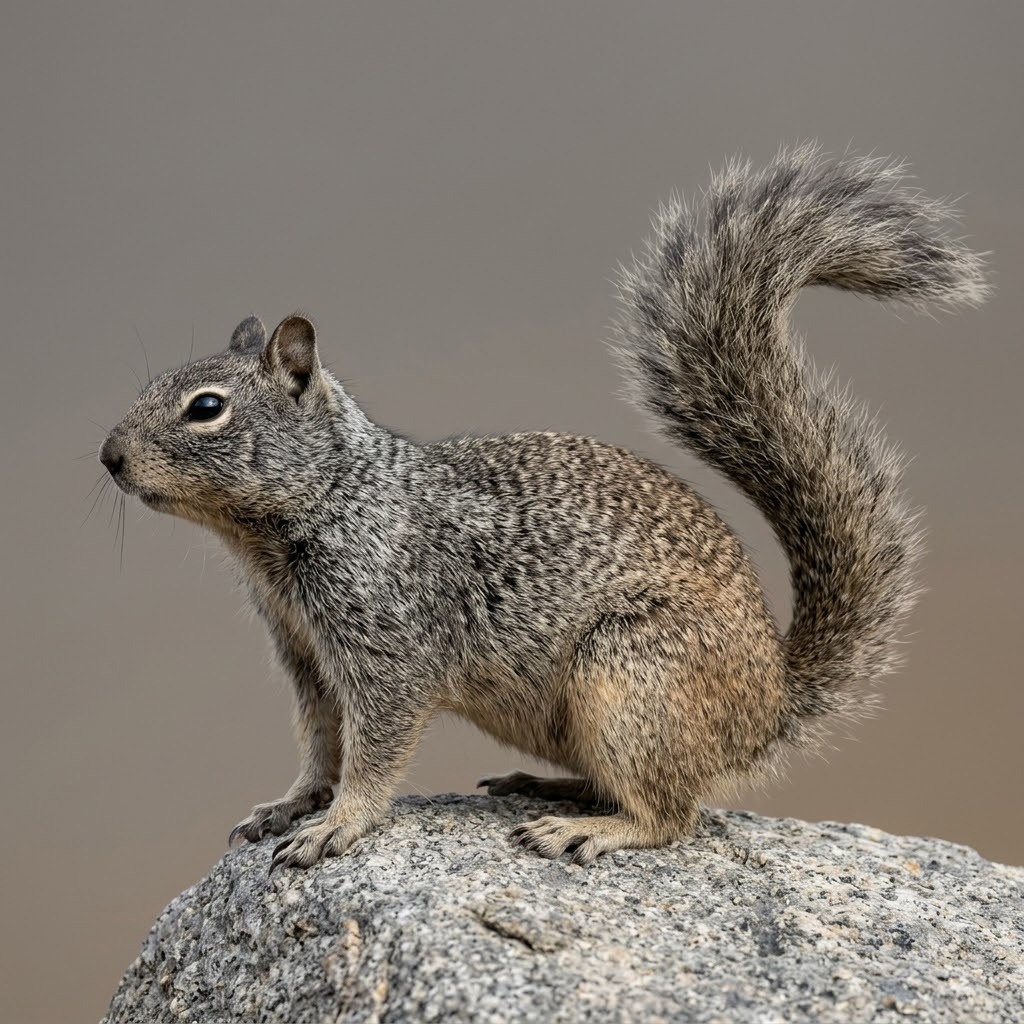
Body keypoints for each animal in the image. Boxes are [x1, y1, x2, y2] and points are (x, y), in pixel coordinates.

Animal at [99, 145, 987, 870]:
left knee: (675, 814)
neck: (331, 498)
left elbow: (374, 750)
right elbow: (321, 743)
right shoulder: (305, 656)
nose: (108, 456)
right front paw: (289, 805)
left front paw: (338, 825)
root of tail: (768, 705)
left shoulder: (390, 646)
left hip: (631, 678)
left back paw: (587, 828)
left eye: (206, 408)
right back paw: (554, 789)